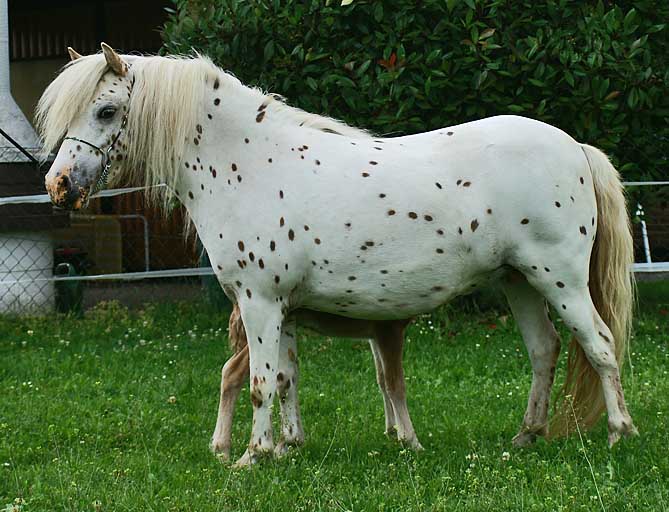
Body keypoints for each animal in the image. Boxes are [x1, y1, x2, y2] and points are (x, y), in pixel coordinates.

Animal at [40, 44, 637, 467]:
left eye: (107, 110)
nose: (59, 185)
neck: (248, 165)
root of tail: (575, 147)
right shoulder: (280, 309)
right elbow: (283, 378)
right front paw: (284, 449)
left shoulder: (259, 302)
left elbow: (258, 383)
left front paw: (252, 457)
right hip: (518, 280)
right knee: (544, 350)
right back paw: (526, 436)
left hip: (559, 279)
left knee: (600, 345)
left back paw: (619, 435)